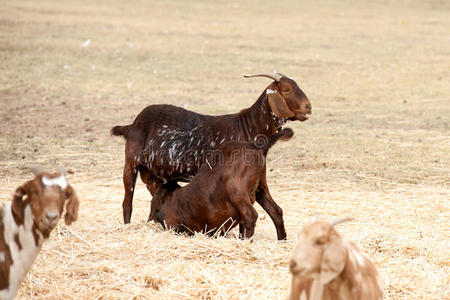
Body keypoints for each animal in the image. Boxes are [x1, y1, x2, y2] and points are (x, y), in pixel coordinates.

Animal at [149, 127, 294, 238]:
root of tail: (256, 146)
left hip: (237, 190)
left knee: (250, 215)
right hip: (260, 188)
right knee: (275, 211)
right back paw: (281, 240)